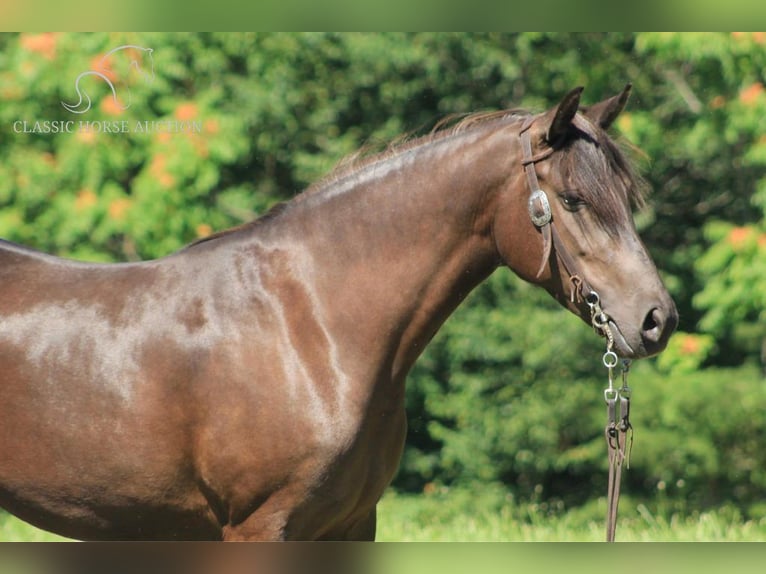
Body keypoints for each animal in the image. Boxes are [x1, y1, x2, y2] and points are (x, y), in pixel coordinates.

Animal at [0, 84, 680, 540]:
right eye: (572, 199)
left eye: (626, 197)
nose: (657, 319)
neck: (311, 326)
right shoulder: (257, 528)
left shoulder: (351, 525)